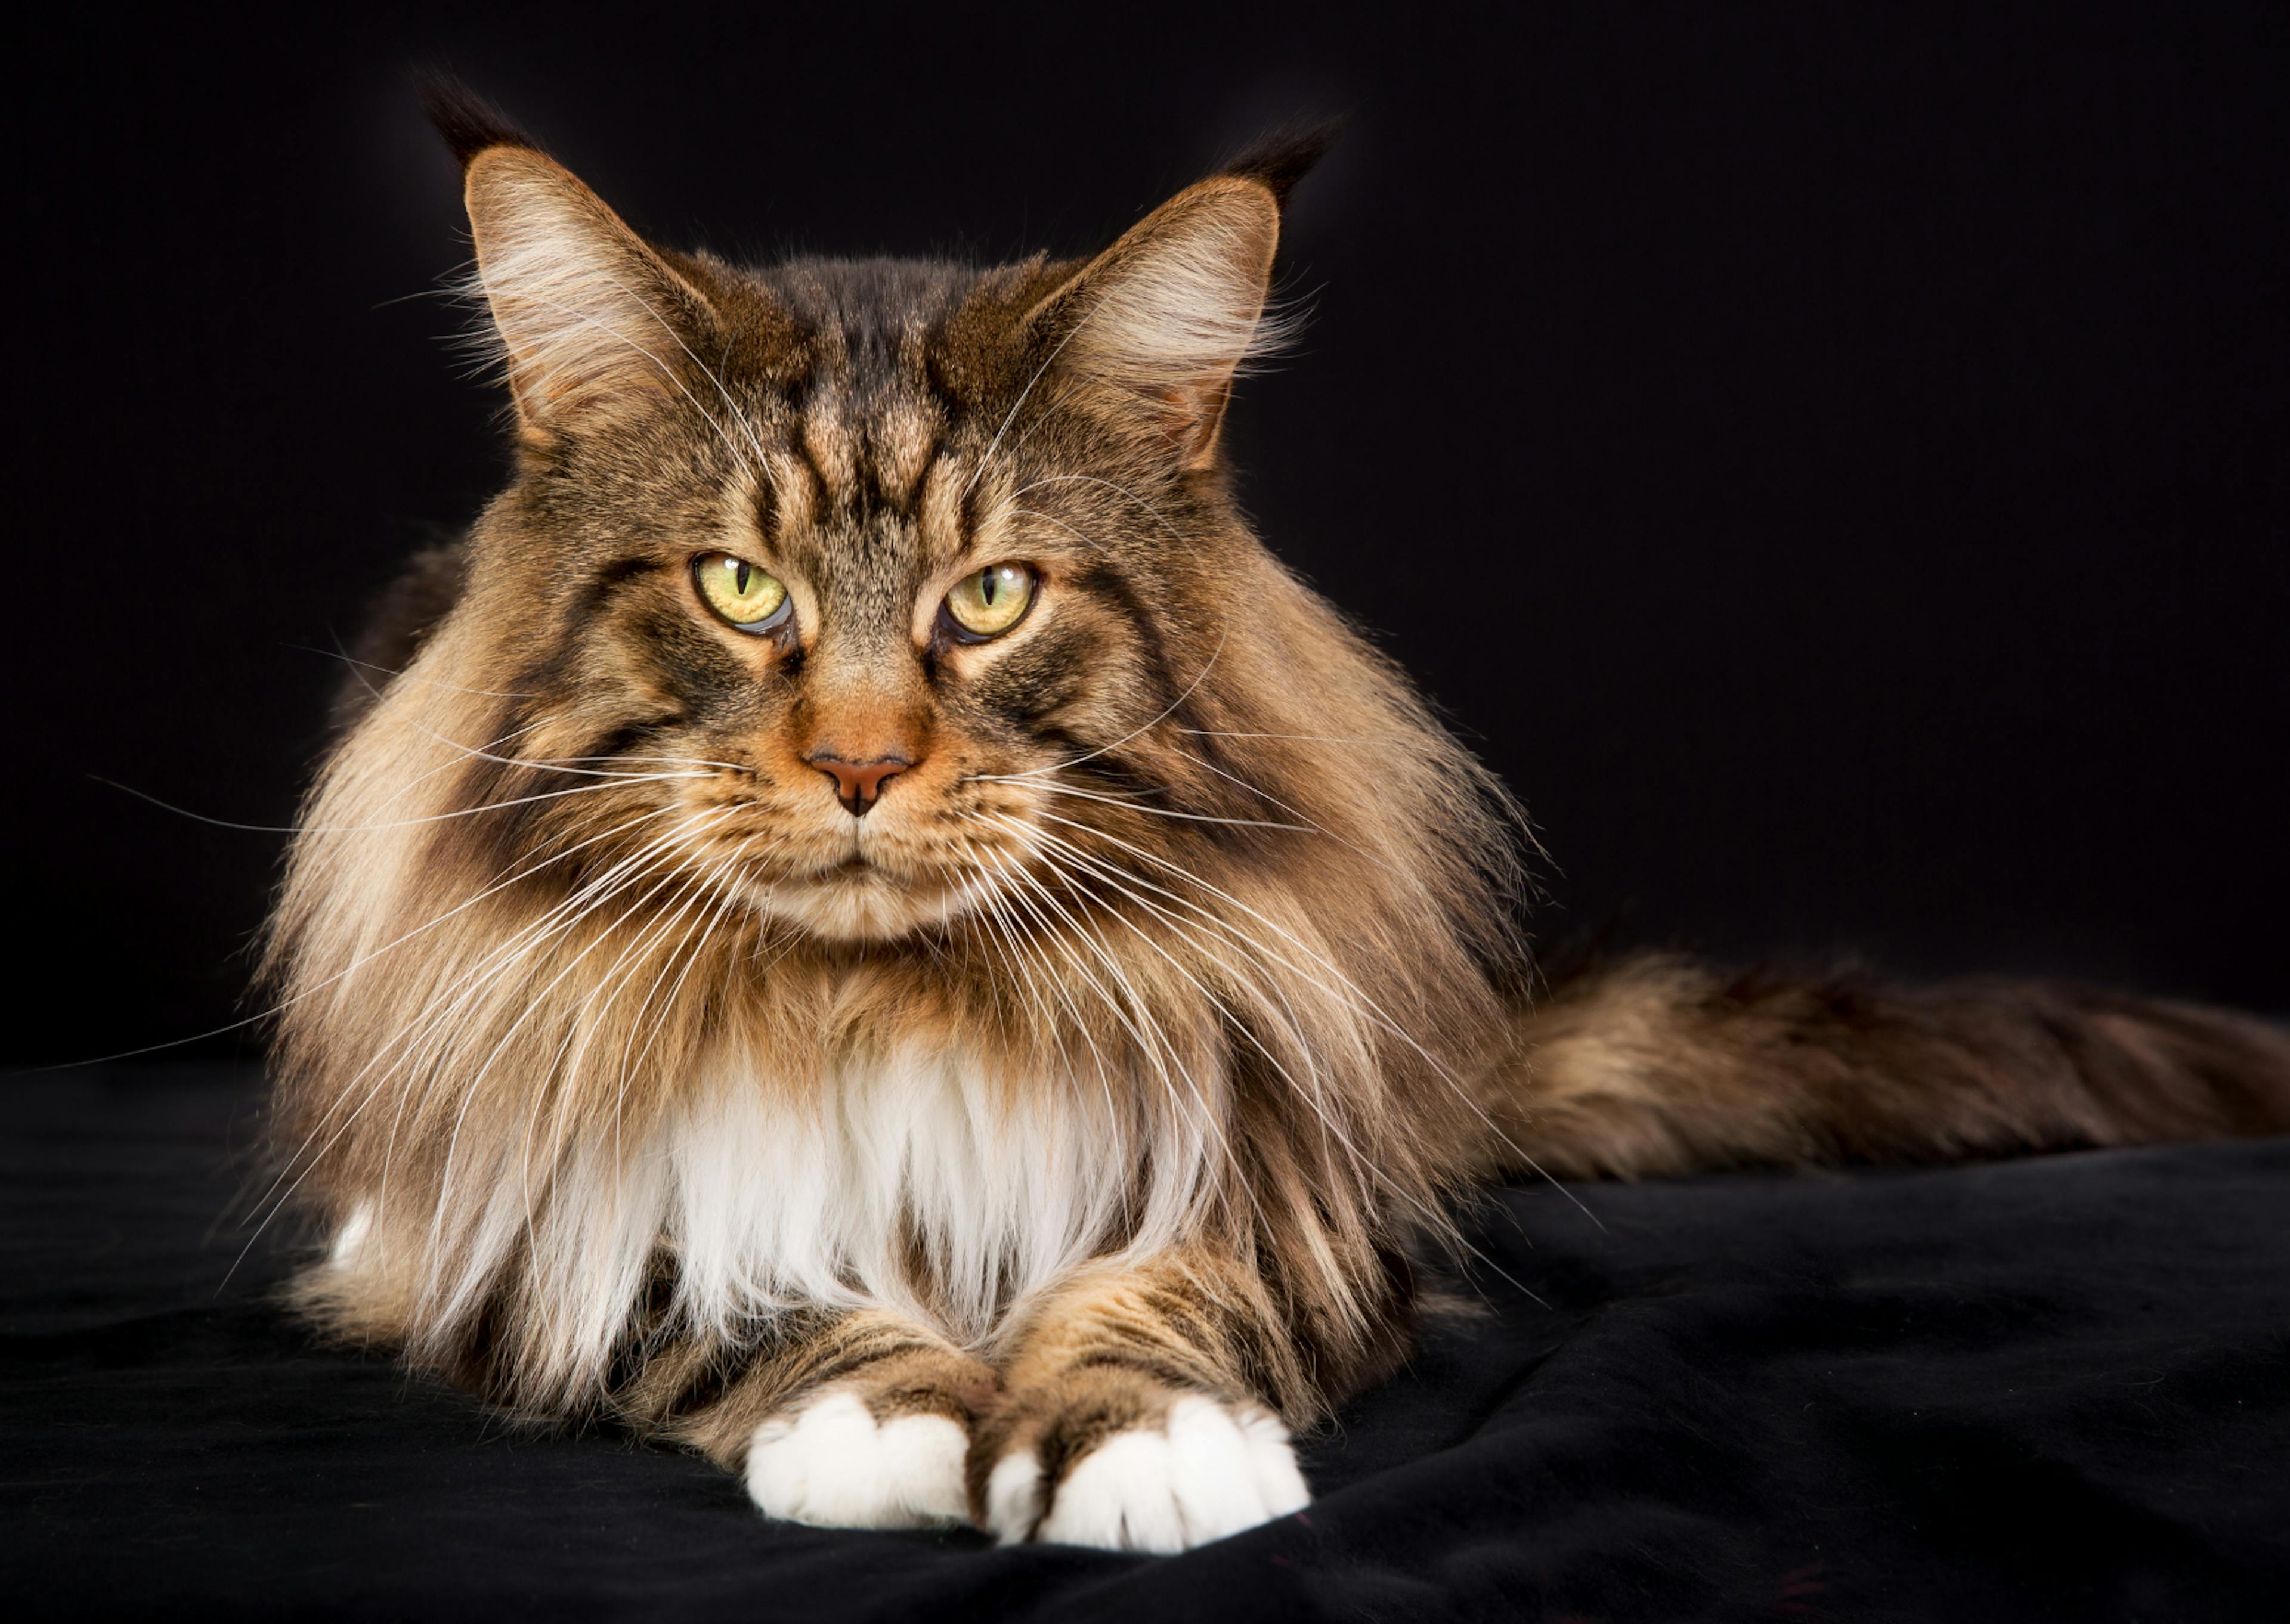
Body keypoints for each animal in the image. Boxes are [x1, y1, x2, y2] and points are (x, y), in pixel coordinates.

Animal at [259, 82, 2290, 1548]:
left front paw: (1142, 1443)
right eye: (742, 590)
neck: (893, 996)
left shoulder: (1289, 1174)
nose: (856, 765)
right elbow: (711, 1276)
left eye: (990, 598)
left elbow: (1164, 1288)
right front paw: (888, 1409)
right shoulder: (534, 1207)